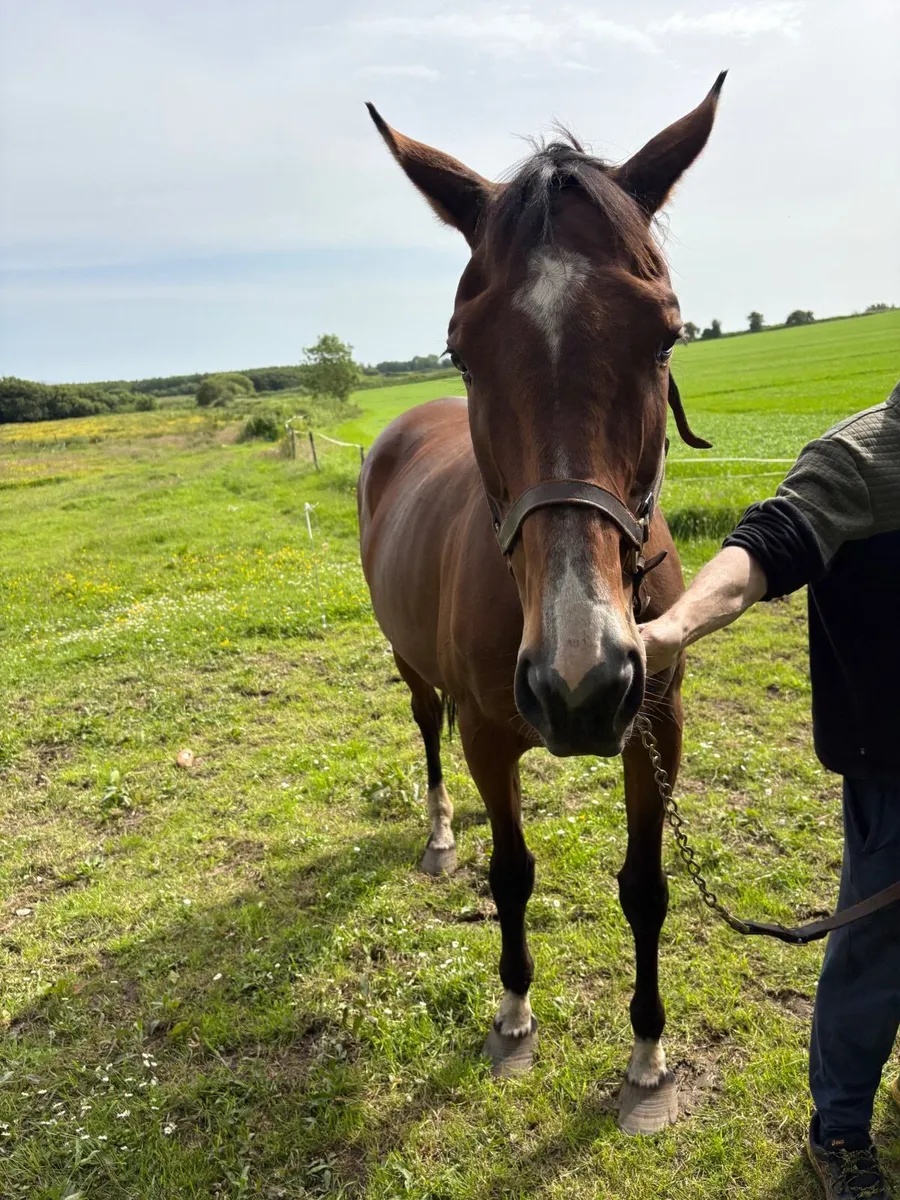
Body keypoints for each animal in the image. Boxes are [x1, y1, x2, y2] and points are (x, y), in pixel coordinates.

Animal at [358, 75, 725, 1134]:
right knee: (425, 730)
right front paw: (514, 1016)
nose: (578, 684)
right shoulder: (491, 732)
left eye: (665, 334)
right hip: (411, 669)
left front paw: (646, 1063)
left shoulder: (657, 726)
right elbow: (513, 874)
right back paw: (444, 831)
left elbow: (646, 888)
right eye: (461, 350)